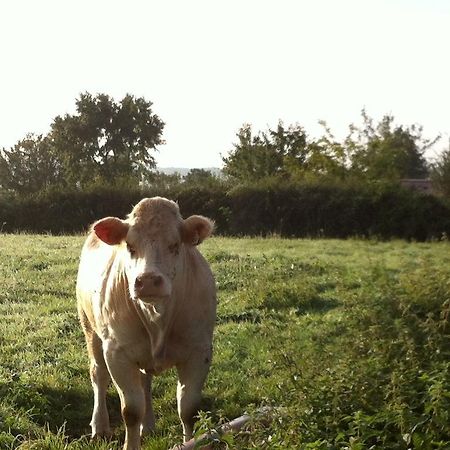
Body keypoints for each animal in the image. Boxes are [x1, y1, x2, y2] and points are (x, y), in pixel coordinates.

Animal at [76, 197, 217, 450]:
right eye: (130, 246)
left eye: (174, 245)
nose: (149, 281)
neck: (157, 318)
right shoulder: (117, 353)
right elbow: (131, 410)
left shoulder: (199, 351)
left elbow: (188, 409)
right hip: (90, 329)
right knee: (98, 375)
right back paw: (100, 427)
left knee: (145, 382)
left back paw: (148, 426)